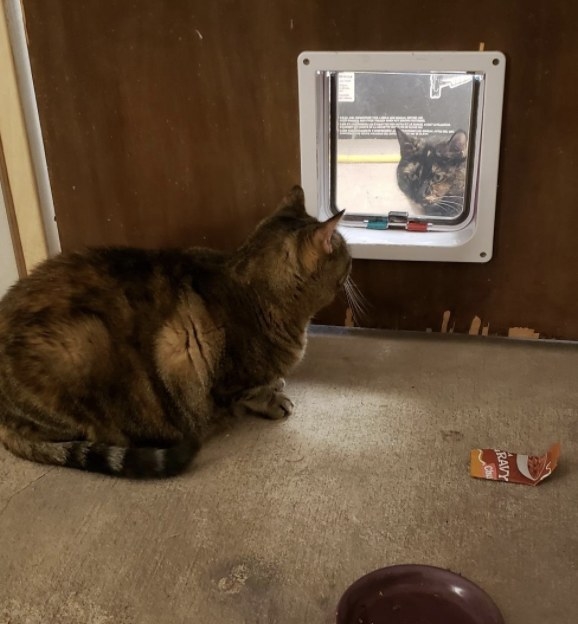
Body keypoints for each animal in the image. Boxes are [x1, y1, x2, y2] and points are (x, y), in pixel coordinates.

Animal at [0, 185, 352, 478]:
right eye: (346, 256)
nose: (351, 265)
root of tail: (4, 418)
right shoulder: (214, 368)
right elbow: (252, 392)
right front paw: (273, 399)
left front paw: (275, 383)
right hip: (80, 345)